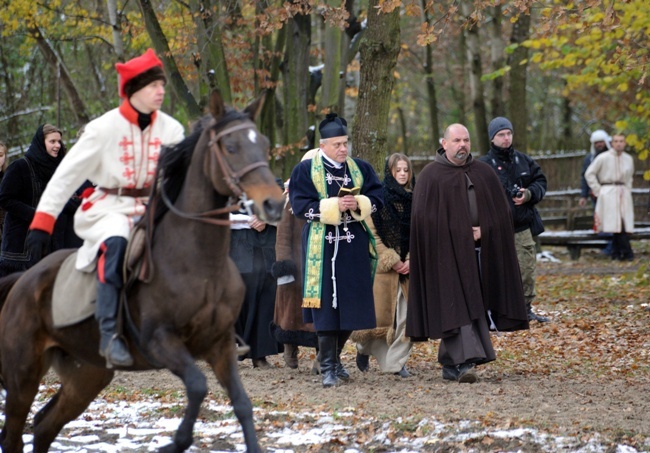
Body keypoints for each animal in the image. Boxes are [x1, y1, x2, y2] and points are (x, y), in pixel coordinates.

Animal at [0, 90, 284, 450]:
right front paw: (176, 441)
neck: (202, 263)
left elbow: (243, 404)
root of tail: (24, 280)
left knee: (43, 426)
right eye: (230, 147)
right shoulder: (162, 341)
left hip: (86, 374)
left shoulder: (220, 346)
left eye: (263, 144)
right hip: (23, 375)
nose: (274, 204)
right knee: (14, 432)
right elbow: (197, 386)